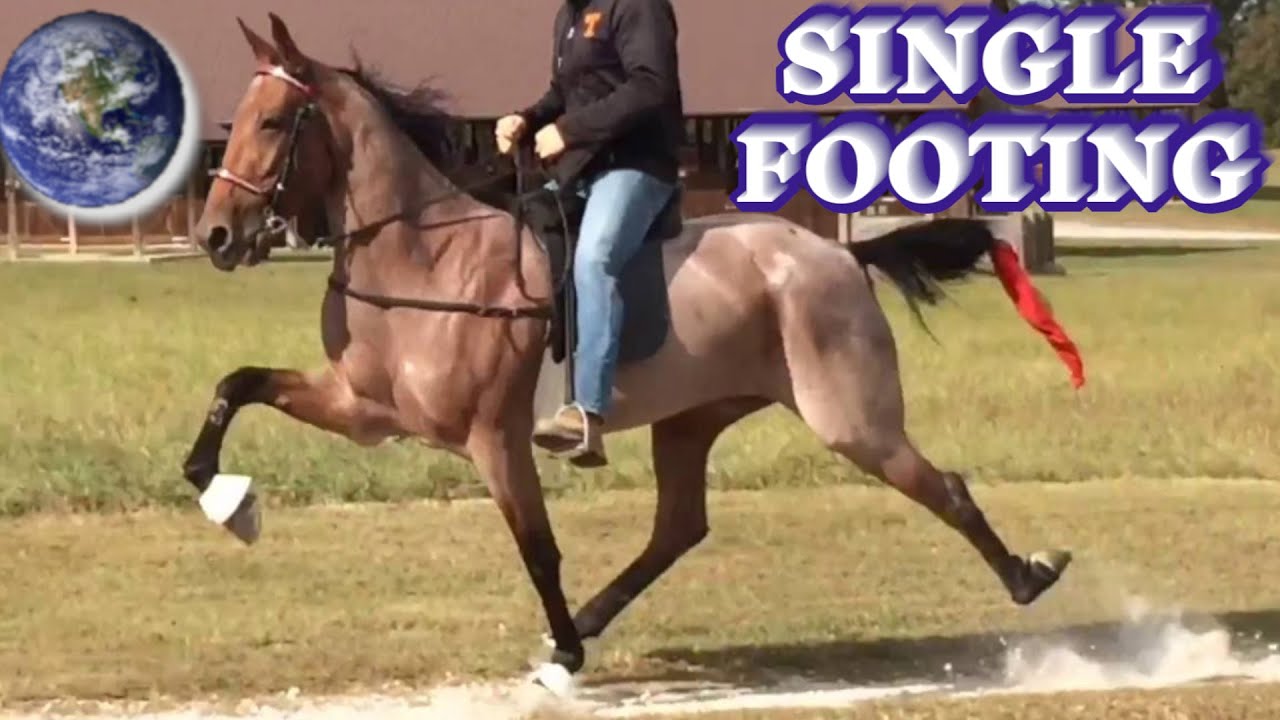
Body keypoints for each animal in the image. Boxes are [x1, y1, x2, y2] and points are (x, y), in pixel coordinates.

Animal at [184, 12, 1084, 693]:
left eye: (273, 122)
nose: (216, 235)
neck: (424, 257)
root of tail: (838, 254)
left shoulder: (494, 440)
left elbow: (538, 548)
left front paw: (563, 657)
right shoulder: (364, 410)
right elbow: (239, 383)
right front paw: (226, 497)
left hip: (851, 419)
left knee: (943, 487)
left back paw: (1029, 577)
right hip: (691, 421)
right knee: (678, 529)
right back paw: (587, 623)